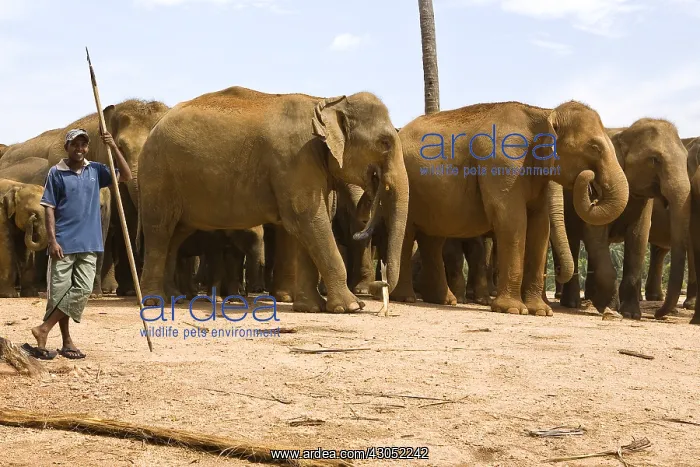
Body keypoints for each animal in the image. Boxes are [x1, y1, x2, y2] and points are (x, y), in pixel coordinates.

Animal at [136, 86, 409, 313]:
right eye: (385, 142)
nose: (378, 285)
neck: (325, 101)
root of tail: (155, 126)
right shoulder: (295, 160)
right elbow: (308, 221)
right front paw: (352, 306)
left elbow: (307, 227)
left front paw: (310, 308)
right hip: (157, 176)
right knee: (160, 230)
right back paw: (154, 302)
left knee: (175, 235)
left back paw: (174, 298)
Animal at [391, 100, 629, 317]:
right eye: (594, 147)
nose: (589, 179)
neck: (542, 112)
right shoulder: (503, 163)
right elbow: (513, 221)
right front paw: (513, 309)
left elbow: (540, 227)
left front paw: (541, 312)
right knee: (408, 235)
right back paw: (405, 298)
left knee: (433, 239)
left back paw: (444, 300)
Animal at [558, 118, 690, 320]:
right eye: (654, 159)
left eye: (686, 159)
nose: (657, 314)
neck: (625, 132)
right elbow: (595, 231)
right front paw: (609, 308)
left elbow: (639, 236)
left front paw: (630, 313)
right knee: (572, 240)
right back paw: (572, 303)